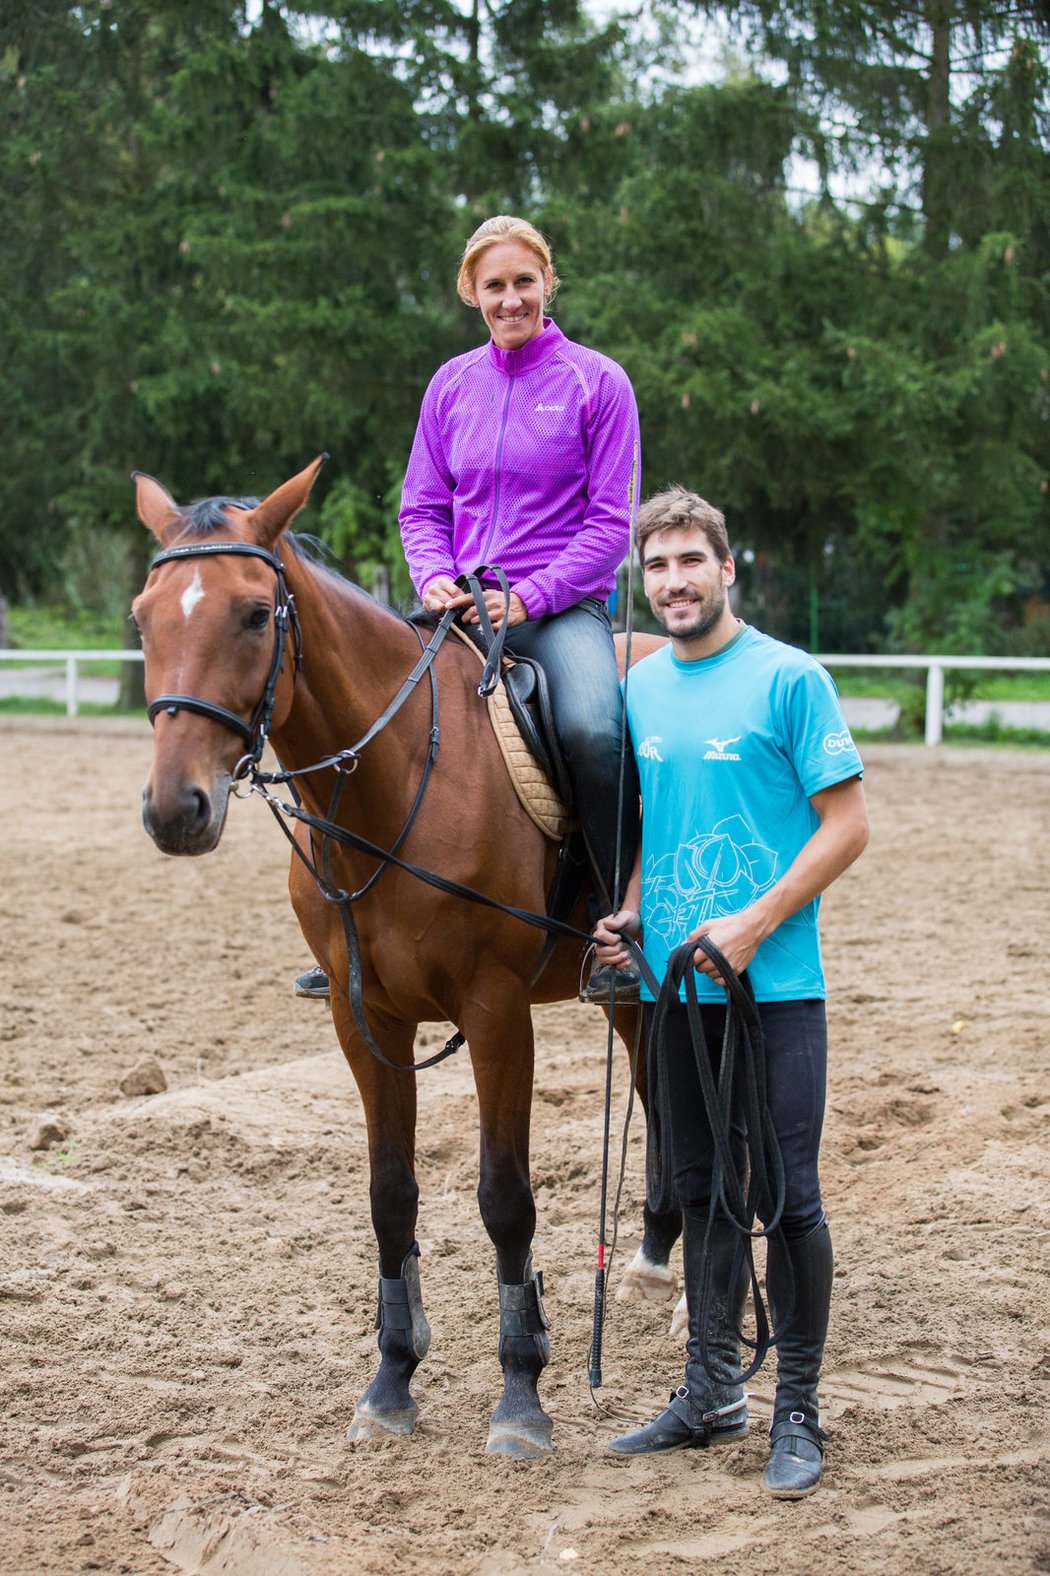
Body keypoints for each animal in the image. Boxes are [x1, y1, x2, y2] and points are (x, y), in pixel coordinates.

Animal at [130, 453, 674, 1449]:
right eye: (144, 618)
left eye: (256, 614)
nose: (175, 809)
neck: (395, 787)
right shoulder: (365, 1019)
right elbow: (391, 1195)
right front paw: (391, 1378)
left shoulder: (497, 1016)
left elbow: (505, 1198)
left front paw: (522, 1391)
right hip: (625, 996)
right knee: (658, 1090)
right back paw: (657, 1255)